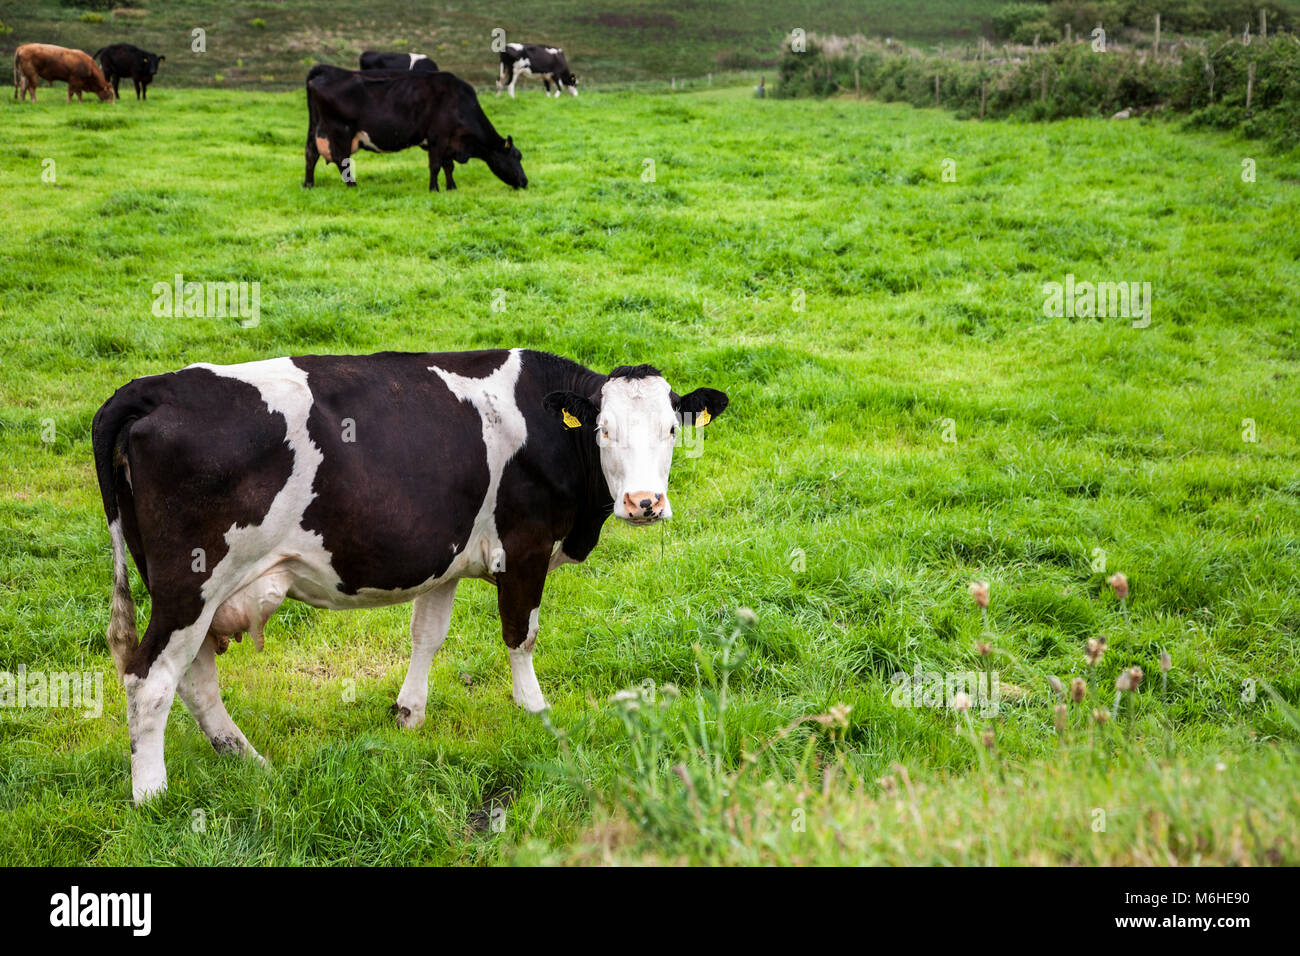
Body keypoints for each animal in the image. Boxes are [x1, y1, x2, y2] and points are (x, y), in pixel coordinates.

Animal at [92, 348, 733, 801]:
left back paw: (248, 761)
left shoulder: (445, 557)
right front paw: (536, 713)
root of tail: (149, 389)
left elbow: (428, 634)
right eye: (604, 431)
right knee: (150, 679)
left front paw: (408, 713)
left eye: (672, 430)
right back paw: (152, 796)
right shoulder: (524, 548)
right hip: (191, 582)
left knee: (194, 678)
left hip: (188, 590)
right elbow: (520, 635)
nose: (645, 503)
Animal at [304, 63, 527, 191]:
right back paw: (352, 185)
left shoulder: (448, 141)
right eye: (516, 157)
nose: (525, 182)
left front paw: (452, 187)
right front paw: (434, 189)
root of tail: (328, 70)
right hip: (340, 131)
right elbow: (436, 165)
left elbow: (448, 166)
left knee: (311, 154)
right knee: (343, 160)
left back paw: (308, 184)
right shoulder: (438, 137)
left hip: (316, 127)